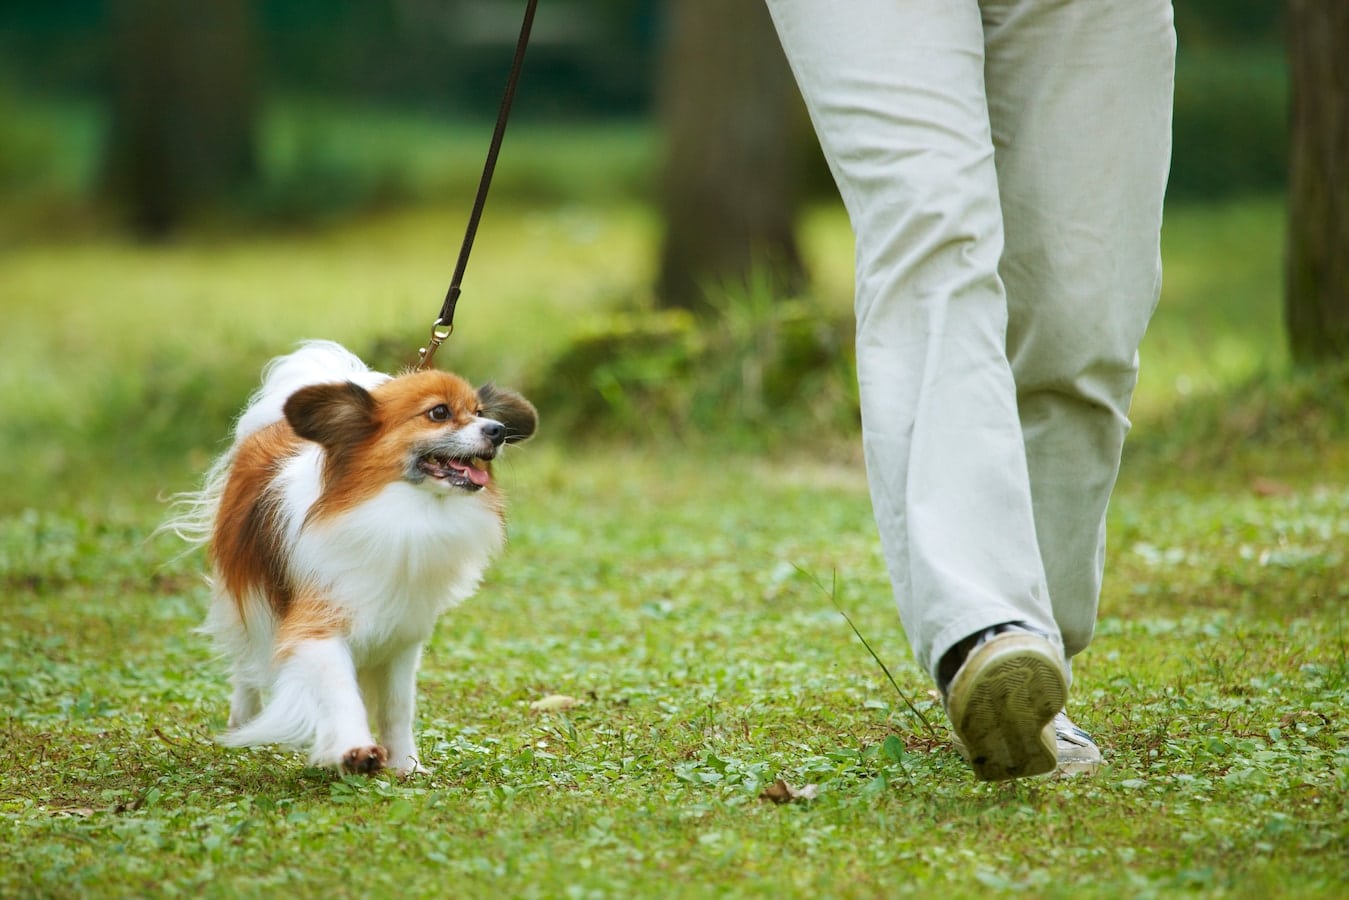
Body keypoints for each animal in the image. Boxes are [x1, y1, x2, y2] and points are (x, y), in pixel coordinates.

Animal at [171, 341, 539, 777]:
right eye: (439, 413)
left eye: (481, 412)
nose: (497, 431)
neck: (402, 511)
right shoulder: (317, 622)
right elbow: (340, 690)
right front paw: (354, 749)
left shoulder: (403, 636)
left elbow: (398, 707)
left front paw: (406, 764)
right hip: (246, 597)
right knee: (246, 662)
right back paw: (243, 717)